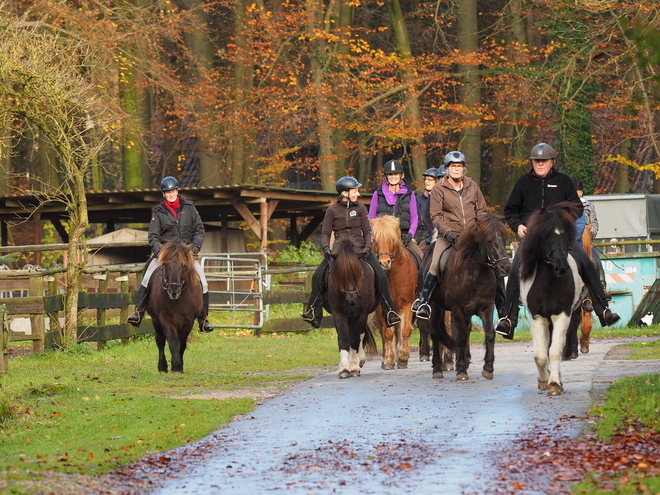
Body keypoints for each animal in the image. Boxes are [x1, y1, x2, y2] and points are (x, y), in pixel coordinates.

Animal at [146, 239, 201, 372]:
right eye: (166, 265)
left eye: (184, 265)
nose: (173, 291)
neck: (178, 300)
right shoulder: (166, 319)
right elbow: (173, 342)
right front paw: (176, 366)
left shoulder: (188, 321)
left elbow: (182, 343)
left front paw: (178, 365)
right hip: (155, 320)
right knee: (160, 340)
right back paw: (162, 366)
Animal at [324, 236, 376, 380]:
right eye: (340, 276)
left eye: (358, 273)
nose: (351, 299)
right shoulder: (338, 314)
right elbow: (343, 338)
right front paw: (344, 369)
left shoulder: (361, 314)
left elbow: (354, 339)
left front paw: (354, 368)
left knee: (360, 335)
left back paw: (360, 361)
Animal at [368, 215, 416, 370]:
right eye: (375, 240)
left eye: (391, 240)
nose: (384, 263)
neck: (391, 275)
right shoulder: (382, 308)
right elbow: (387, 333)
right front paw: (389, 360)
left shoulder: (407, 304)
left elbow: (405, 330)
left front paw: (403, 358)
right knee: (385, 333)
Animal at [426, 212, 512, 380]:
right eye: (489, 241)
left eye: (504, 239)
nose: (506, 267)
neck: (474, 274)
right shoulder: (458, 309)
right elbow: (460, 338)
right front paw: (461, 370)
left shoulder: (486, 307)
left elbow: (489, 334)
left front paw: (488, 368)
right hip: (435, 306)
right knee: (435, 333)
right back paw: (438, 368)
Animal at [520, 203, 584, 398]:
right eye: (546, 236)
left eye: (566, 236)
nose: (561, 266)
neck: (549, 282)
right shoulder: (538, 318)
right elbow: (540, 355)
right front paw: (543, 381)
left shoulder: (561, 315)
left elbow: (555, 351)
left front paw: (554, 384)